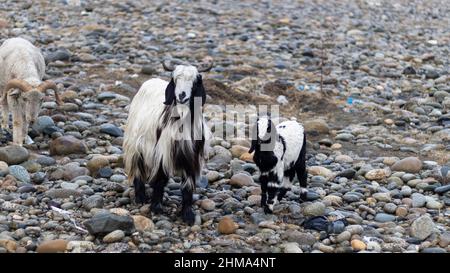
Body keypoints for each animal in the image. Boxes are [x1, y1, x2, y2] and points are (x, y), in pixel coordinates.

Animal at [123, 59, 213, 223]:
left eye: (195, 80)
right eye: (175, 79)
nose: (181, 96)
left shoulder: (192, 158)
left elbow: (188, 186)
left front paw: (188, 214)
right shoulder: (162, 152)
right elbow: (161, 179)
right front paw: (156, 207)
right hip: (135, 144)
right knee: (138, 169)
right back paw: (141, 198)